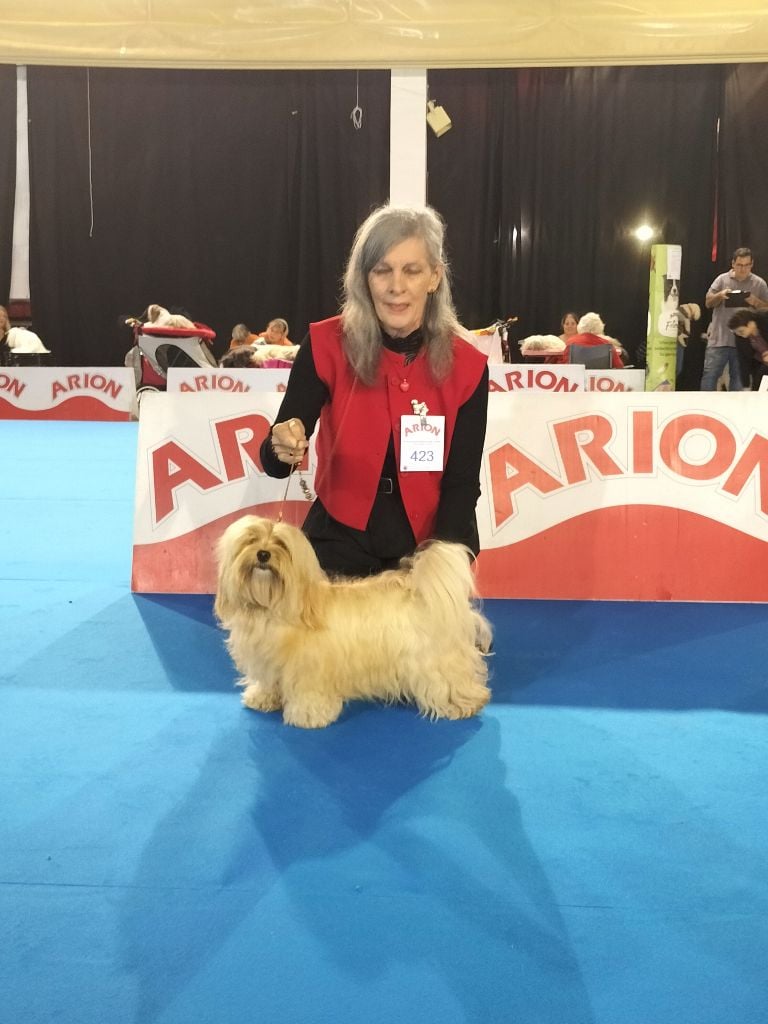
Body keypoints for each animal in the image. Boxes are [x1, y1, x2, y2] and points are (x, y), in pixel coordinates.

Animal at [215, 520, 493, 729]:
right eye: (250, 540)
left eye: (281, 545)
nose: (263, 554)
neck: (275, 608)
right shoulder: (267, 664)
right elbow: (267, 682)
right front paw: (262, 698)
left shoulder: (310, 671)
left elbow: (308, 695)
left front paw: (308, 715)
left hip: (435, 662)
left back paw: (464, 703)